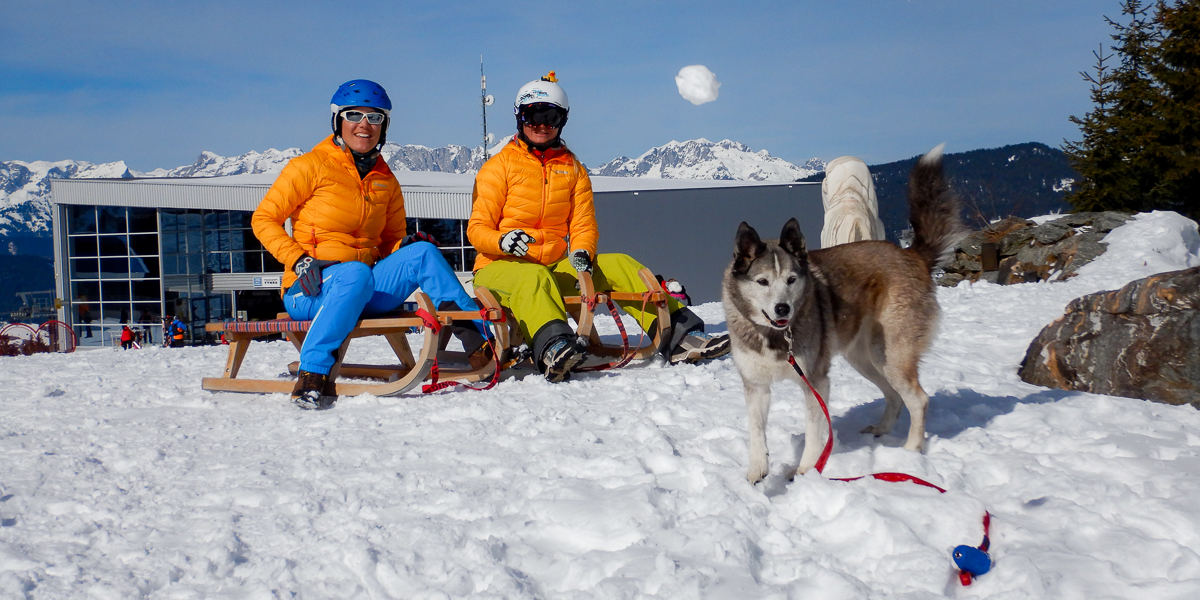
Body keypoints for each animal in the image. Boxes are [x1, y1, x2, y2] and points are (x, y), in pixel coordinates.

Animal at [720, 146, 964, 487]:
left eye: (791, 280)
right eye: (762, 282)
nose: (783, 309)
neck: (774, 335)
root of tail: (911, 255)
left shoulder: (814, 381)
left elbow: (814, 432)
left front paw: (806, 471)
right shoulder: (755, 386)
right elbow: (756, 432)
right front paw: (757, 470)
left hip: (891, 356)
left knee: (918, 399)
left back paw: (911, 452)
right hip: (866, 358)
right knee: (894, 395)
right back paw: (881, 430)